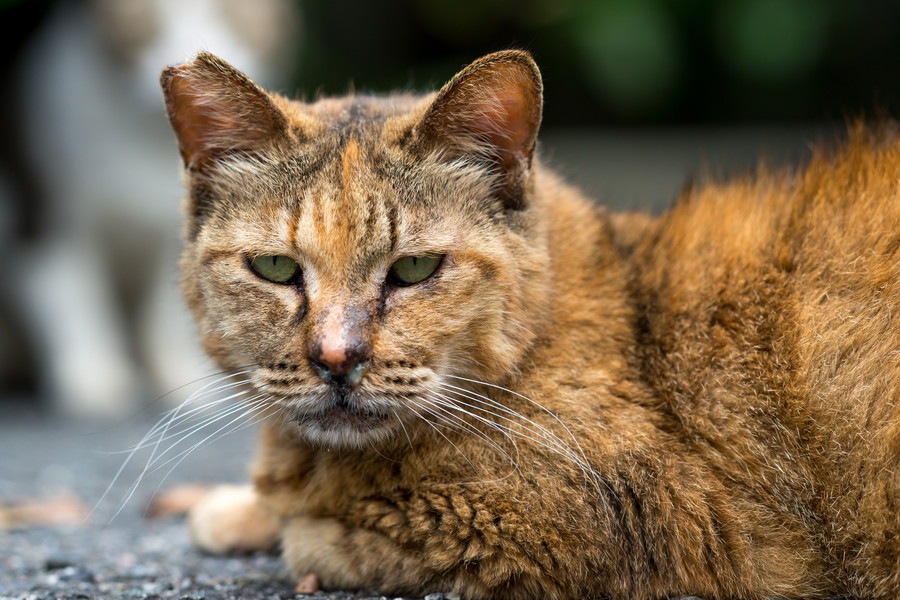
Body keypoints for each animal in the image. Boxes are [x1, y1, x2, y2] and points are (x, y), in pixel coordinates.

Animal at [160, 51, 900, 600]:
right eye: (275, 267)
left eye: (415, 268)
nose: (336, 358)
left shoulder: (610, 519)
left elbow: (315, 537)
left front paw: (271, 518)